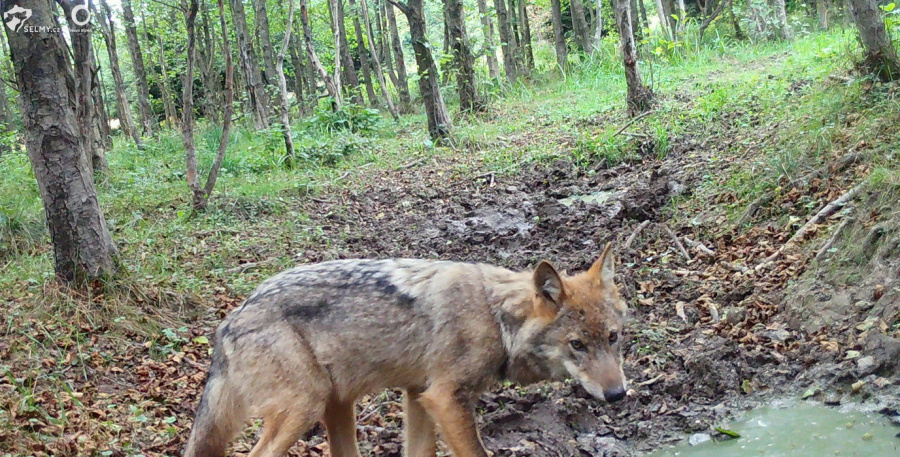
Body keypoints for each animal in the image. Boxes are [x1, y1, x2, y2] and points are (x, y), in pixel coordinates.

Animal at [186, 244, 628, 456]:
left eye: (613, 338)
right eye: (577, 345)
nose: (618, 395)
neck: (495, 317)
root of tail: (229, 321)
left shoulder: (419, 396)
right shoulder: (445, 399)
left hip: (335, 404)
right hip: (304, 408)